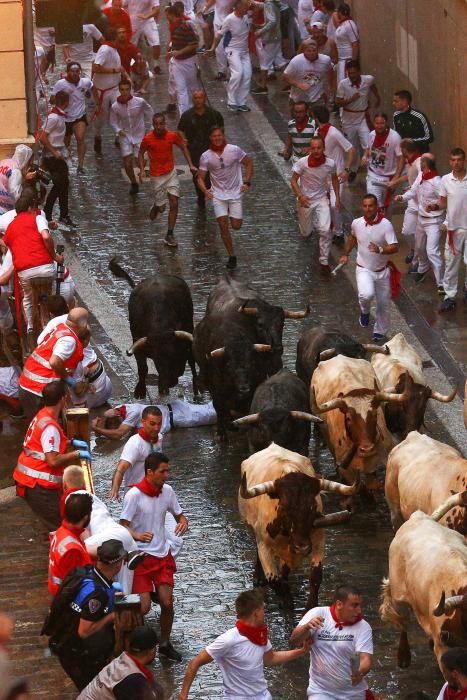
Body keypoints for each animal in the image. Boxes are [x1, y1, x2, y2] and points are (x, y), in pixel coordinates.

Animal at [109, 258, 197, 400]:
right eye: (158, 360)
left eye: (177, 356)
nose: (171, 381)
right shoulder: (137, 342)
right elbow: (142, 368)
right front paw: (140, 391)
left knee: (193, 364)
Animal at [239, 442, 356, 608]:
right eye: (284, 507)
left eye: (313, 507)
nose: (302, 547)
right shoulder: (264, 545)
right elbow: (274, 580)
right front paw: (286, 601)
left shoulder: (318, 539)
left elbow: (315, 575)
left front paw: (311, 605)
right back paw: (259, 577)